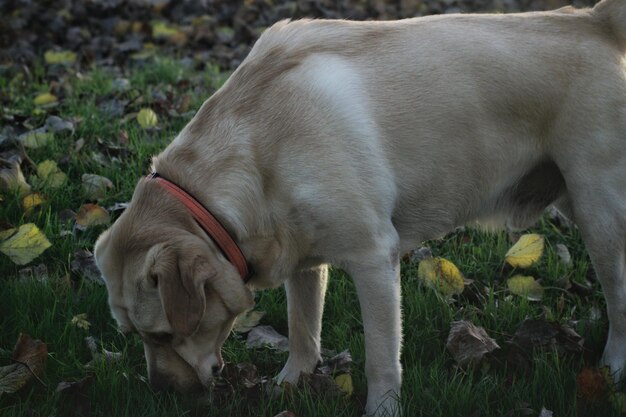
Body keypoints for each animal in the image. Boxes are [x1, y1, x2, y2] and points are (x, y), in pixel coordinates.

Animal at [94, 0, 624, 412]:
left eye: (163, 335)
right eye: (134, 335)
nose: (161, 393)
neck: (257, 150)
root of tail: (594, 19)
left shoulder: (373, 259)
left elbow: (380, 359)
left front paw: (382, 409)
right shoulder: (302, 260)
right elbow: (303, 328)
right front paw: (292, 382)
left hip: (600, 217)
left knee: (619, 303)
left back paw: (612, 369)